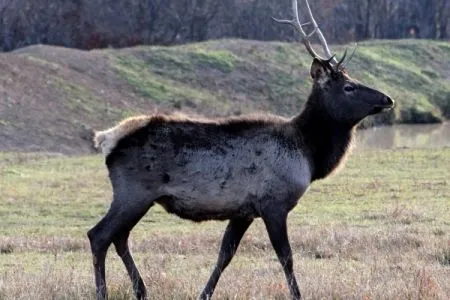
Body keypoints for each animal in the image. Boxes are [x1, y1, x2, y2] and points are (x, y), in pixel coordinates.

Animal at [87, 1, 394, 298]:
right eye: (349, 87)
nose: (388, 99)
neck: (308, 153)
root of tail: (107, 139)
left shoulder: (243, 211)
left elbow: (225, 255)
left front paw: (204, 294)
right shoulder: (273, 203)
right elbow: (286, 257)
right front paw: (297, 295)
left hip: (139, 197)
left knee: (119, 237)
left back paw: (141, 290)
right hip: (133, 192)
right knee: (99, 235)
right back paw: (103, 292)